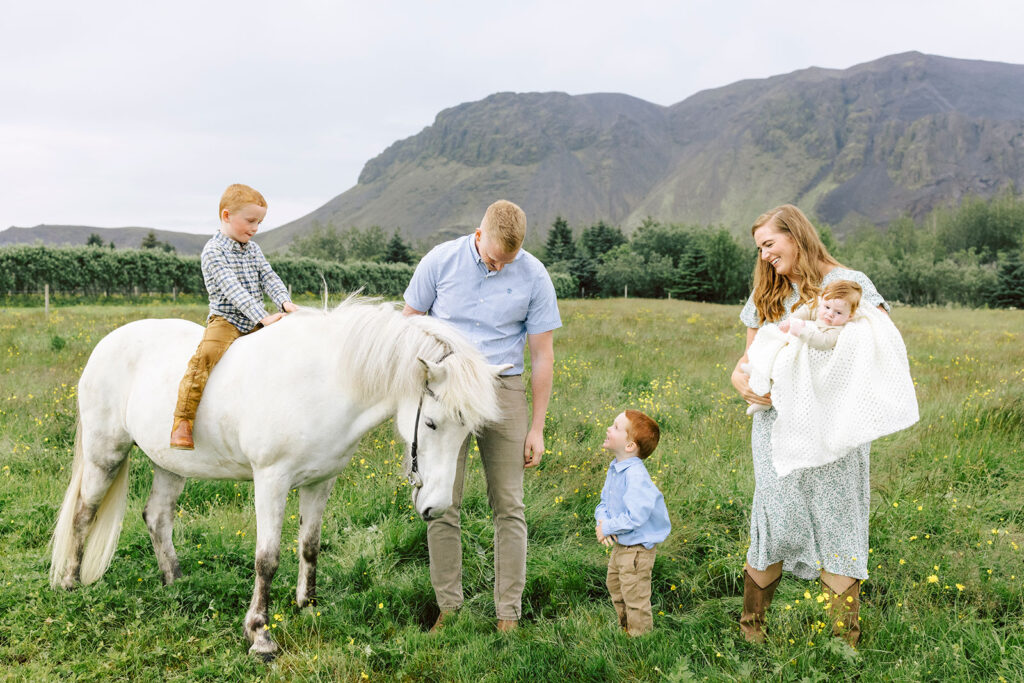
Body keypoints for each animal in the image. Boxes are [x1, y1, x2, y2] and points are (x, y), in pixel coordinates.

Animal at [49, 296, 505, 659]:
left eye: (467, 432)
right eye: (430, 423)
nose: (437, 506)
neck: (324, 384)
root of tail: (107, 343)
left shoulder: (320, 482)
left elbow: (309, 546)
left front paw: (308, 605)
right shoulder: (271, 481)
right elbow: (266, 560)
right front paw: (259, 635)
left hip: (170, 463)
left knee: (157, 517)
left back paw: (175, 582)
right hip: (105, 452)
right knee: (85, 512)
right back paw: (70, 584)